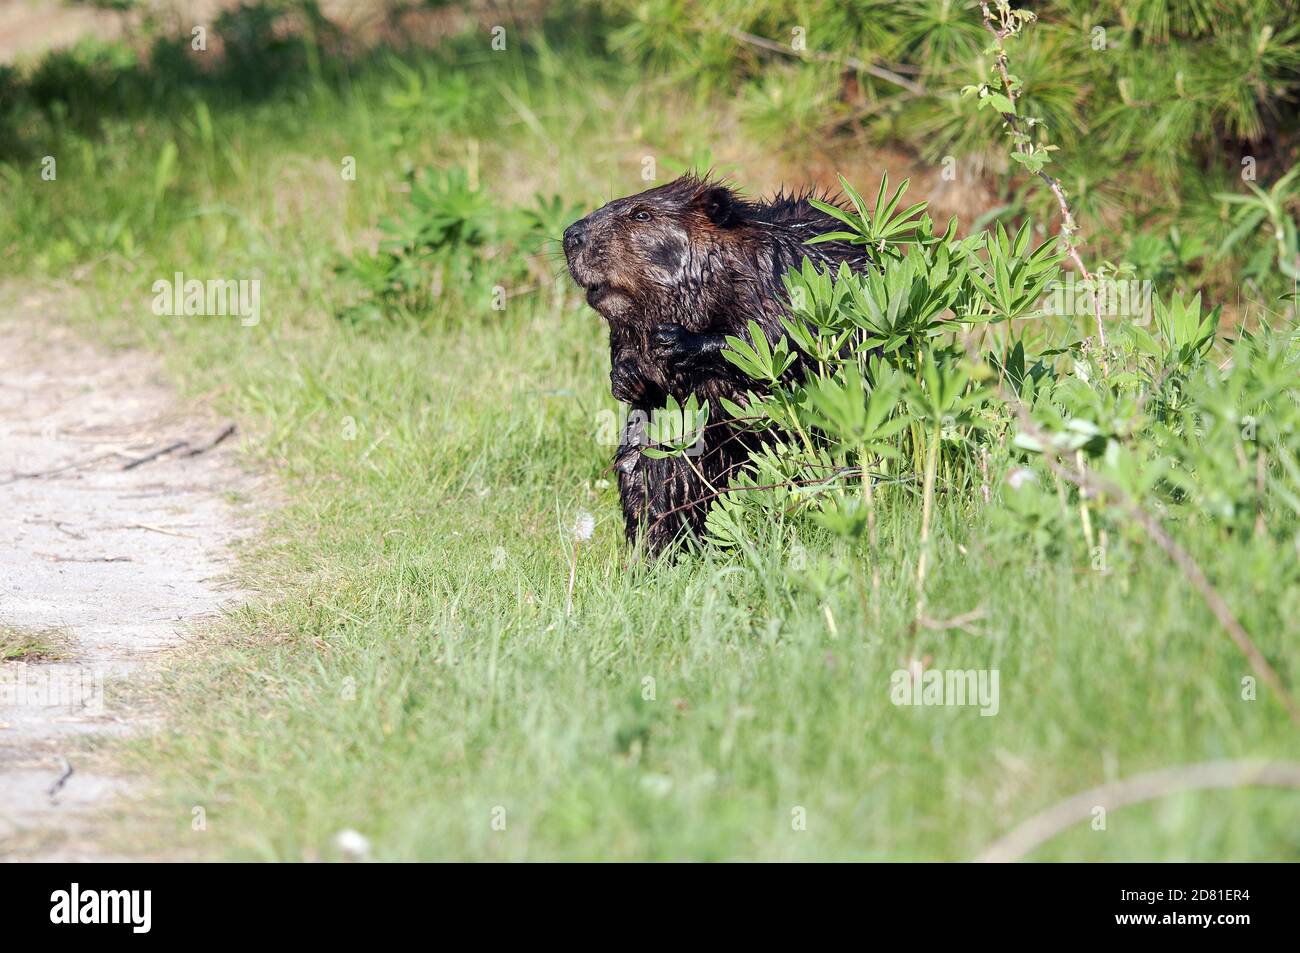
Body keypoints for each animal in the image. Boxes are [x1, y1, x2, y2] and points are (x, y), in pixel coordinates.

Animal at [561, 174, 873, 553]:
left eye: (641, 214)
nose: (571, 235)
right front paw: (627, 376)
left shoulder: (782, 277)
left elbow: (777, 337)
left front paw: (675, 340)